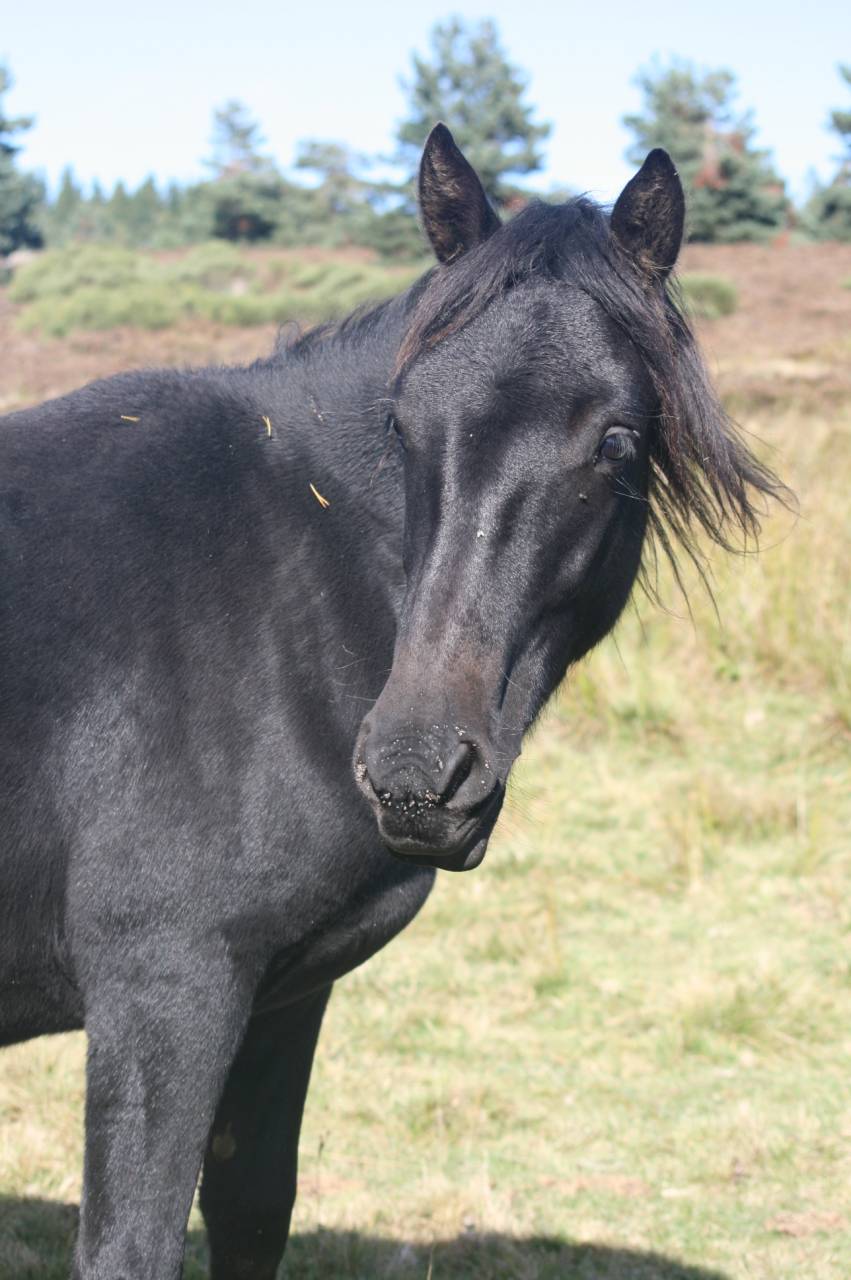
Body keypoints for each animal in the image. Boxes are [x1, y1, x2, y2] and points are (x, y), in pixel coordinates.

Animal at [0, 124, 781, 1278]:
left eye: (614, 440)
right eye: (403, 424)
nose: (416, 774)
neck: (283, 589)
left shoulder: (278, 998)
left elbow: (251, 1209)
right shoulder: (162, 990)